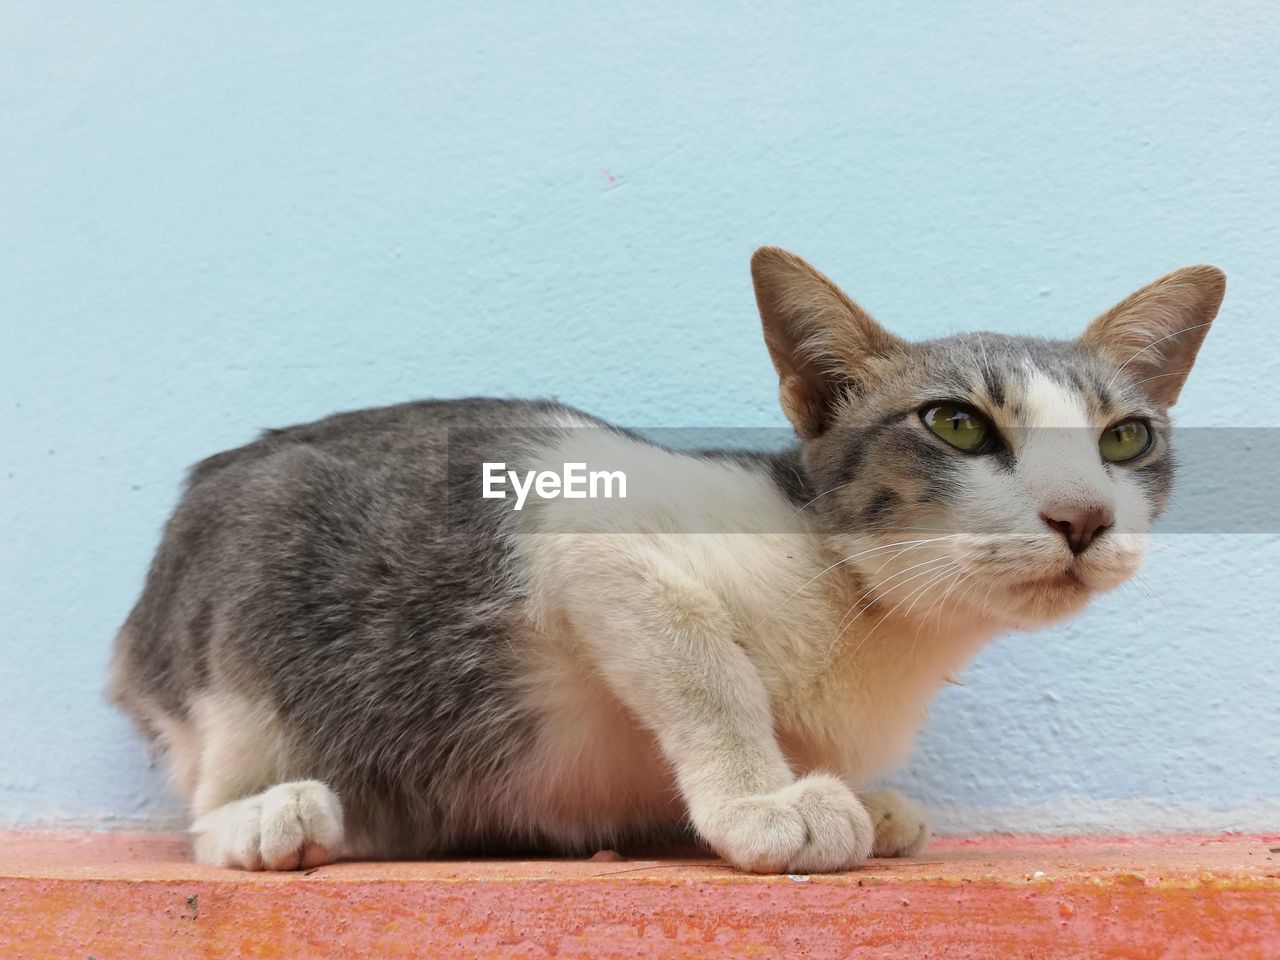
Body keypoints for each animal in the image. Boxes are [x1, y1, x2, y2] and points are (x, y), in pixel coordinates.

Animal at [104, 245, 1223, 870]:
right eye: (954, 423)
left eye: (1125, 439)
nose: (1082, 516)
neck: (878, 626)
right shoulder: (587, 530)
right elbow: (708, 675)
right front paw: (763, 801)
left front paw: (838, 793)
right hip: (246, 620)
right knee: (209, 803)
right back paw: (270, 816)